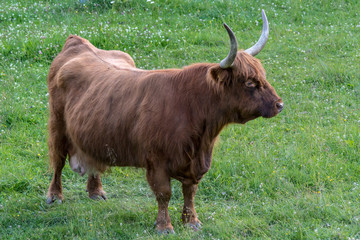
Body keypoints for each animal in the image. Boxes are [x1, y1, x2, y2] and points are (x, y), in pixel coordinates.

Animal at [45, 10, 282, 233]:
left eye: (263, 76)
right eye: (249, 83)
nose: (279, 104)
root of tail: (78, 42)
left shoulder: (195, 162)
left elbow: (190, 191)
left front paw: (191, 221)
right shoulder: (156, 161)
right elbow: (164, 194)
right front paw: (164, 226)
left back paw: (96, 192)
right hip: (57, 126)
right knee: (58, 161)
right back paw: (54, 196)